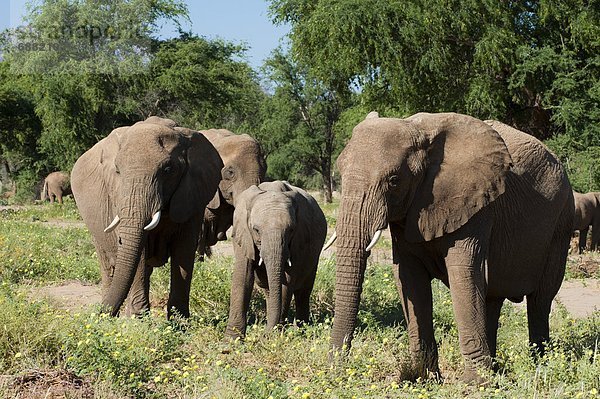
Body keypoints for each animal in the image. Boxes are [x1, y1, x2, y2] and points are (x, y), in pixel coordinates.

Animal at [71, 115, 223, 318]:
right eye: (117, 171)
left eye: (167, 170)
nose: (98, 314)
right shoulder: (117, 195)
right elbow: (140, 253)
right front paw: (138, 318)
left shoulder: (193, 195)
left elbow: (184, 250)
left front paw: (179, 320)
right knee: (108, 264)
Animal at [225, 182, 328, 340]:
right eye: (256, 230)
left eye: (291, 230)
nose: (264, 335)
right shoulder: (243, 235)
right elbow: (243, 278)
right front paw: (231, 340)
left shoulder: (298, 241)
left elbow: (287, 282)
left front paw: (273, 336)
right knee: (270, 289)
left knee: (303, 291)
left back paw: (302, 330)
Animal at [326, 111, 576, 384]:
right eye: (339, 172)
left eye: (394, 181)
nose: (338, 371)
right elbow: (409, 279)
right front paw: (425, 378)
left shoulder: (475, 203)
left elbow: (463, 275)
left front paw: (474, 384)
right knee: (492, 298)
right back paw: (496, 369)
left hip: (561, 222)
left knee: (540, 300)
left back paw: (540, 366)